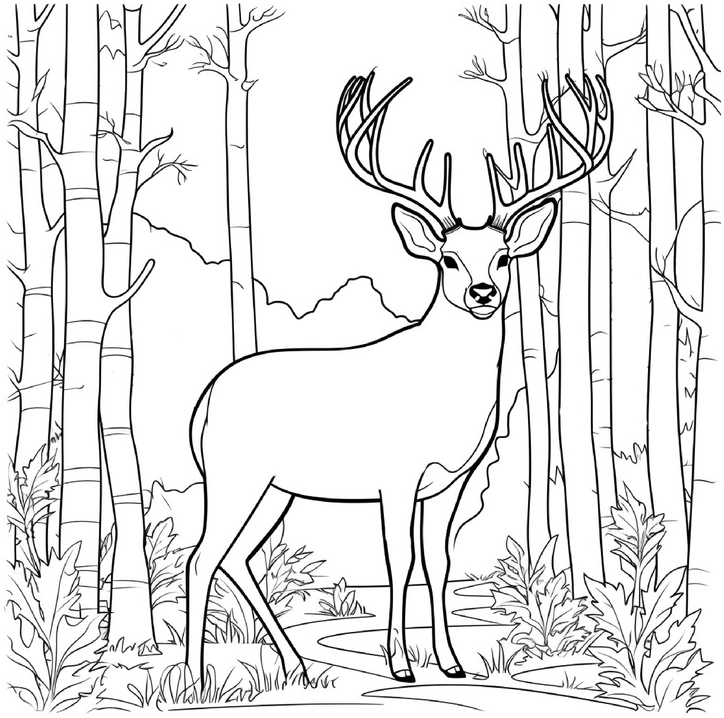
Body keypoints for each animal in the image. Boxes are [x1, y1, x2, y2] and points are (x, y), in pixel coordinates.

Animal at [185, 70, 611, 685]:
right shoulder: (395, 475)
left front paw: (453, 664)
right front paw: (401, 665)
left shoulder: (452, 479)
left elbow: (439, 560)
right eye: (448, 259)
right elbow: (399, 559)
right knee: (202, 556)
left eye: (504, 257)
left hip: (275, 488)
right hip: (233, 472)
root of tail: (203, 404)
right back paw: (196, 680)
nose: (483, 293)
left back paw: (299, 667)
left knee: (236, 557)